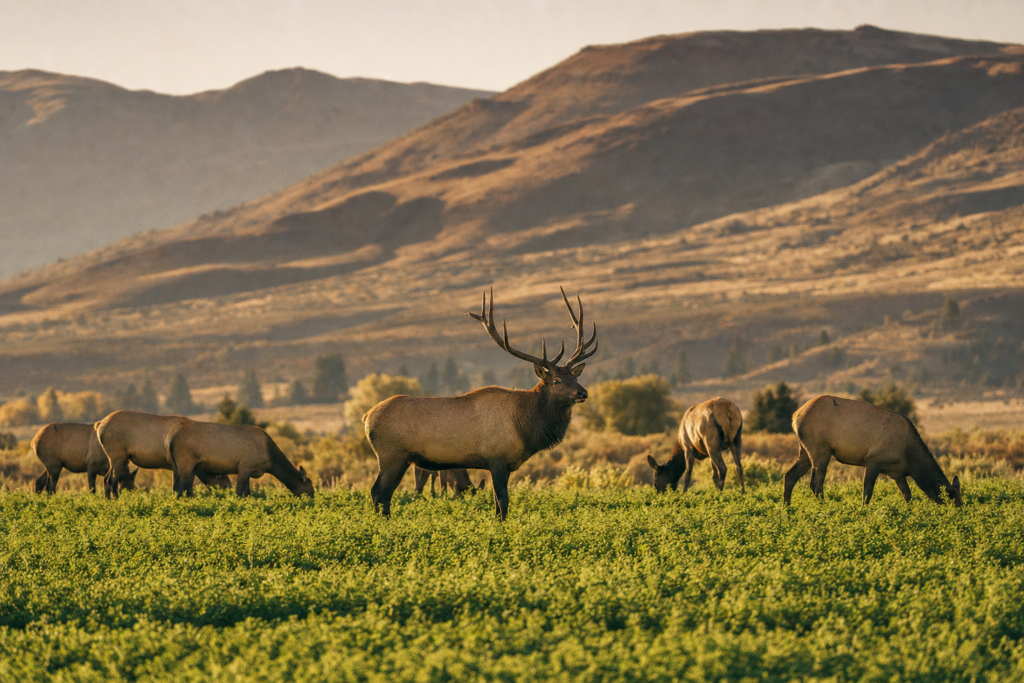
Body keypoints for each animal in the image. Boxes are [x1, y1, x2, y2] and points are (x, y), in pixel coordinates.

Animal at [97, 410, 232, 497]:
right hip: (118, 456)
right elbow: (181, 487)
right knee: (111, 481)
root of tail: (99, 425)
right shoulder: (176, 463)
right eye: (221, 475)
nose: (229, 487)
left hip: (117, 458)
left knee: (105, 479)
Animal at [364, 287, 598, 519]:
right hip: (391, 455)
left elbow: (496, 503)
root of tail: (367, 417)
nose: (583, 392)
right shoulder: (496, 458)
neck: (524, 426)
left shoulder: (503, 464)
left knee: (385, 495)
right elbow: (502, 502)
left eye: (574, 377)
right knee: (378, 492)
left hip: (402, 459)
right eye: (556, 381)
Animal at [784, 395, 962, 507]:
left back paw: (787, 509)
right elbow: (867, 491)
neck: (910, 459)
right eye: (952, 501)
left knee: (790, 475)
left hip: (805, 451)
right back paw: (824, 508)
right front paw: (864, 511)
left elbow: (907, 495)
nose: (959, 514)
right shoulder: (873, 461)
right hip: (820, 450)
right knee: (816, 482)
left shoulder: (898, 474)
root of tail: (794, 416)